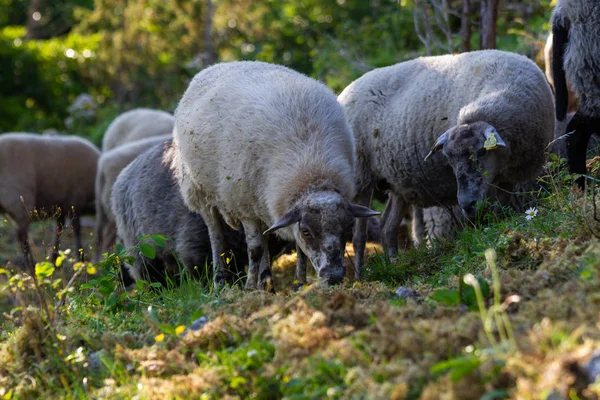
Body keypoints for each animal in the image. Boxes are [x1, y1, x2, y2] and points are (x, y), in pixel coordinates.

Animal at [0, 133, 99, 262]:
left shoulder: (62, 206)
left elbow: (59, 230)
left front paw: (54, 258)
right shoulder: (75, 201)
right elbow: (76, 230)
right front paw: (80, 258)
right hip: (20, 202)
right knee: (23, 240)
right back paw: (31, 265)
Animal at [173, 60, 378, 290]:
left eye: (348, 226)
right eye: (307, 231)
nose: (333, 276)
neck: (312, 169)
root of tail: (219, 65)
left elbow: (297, 250)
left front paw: (300, 283)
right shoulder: (245, 206)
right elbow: (255, 250)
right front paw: (249, 287)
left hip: (260, 199)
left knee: (264, 237)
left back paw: (267, 284)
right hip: (201, 192)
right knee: (216, 235)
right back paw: (221, 282)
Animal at [340, 48, 556, 270]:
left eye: (482, 152)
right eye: (449, 160)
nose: (466, 204)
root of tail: (345, 91)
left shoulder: (506, 178)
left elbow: (503, 209)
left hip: (397, 183)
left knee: (387, 227)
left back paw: (394, 264)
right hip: (361, 176)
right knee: (359, 236)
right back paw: (360, 271)